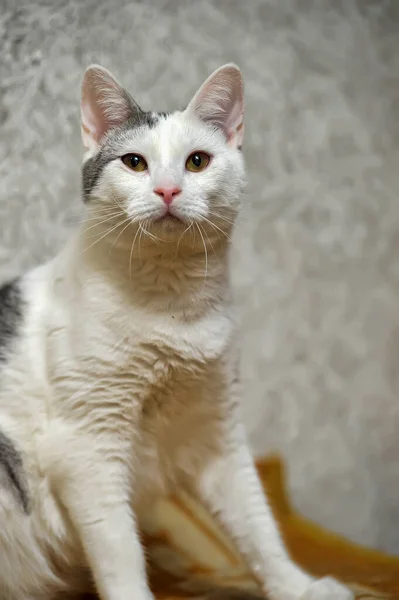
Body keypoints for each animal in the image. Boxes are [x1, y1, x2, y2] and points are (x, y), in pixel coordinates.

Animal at [0, 62, 354, 600]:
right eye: (134, 162)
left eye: (197, 161)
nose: (168, 190)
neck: (171, 304)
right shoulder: (86, 448)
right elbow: (119, 550)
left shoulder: (215, 434)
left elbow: (258, 525)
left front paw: (298, 585)